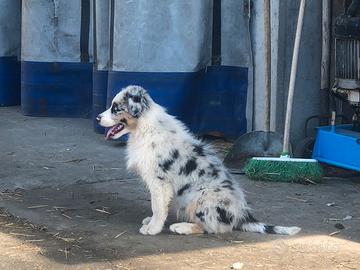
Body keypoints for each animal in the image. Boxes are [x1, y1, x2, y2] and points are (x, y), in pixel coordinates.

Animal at [96, 85, 300, 235]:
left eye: (115, 108)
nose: (98, 118)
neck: (145, 127)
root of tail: (241, 215)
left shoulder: (159, 182)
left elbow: (157, 207)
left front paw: (152, 228)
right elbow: (159, 207)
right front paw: (152, 222)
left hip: (199, 196)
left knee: (214, 228)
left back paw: (181, 227)